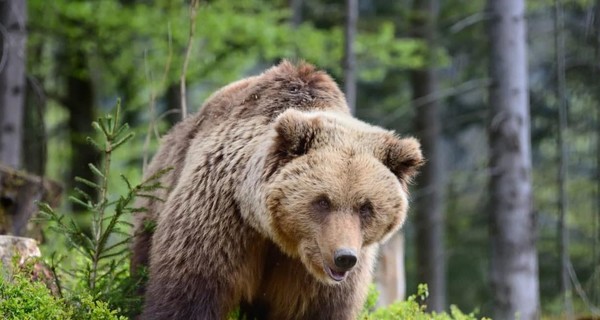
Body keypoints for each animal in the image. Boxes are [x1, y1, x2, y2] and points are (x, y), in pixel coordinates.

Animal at [132, 60, 422, 320]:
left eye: (366, 207)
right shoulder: (220, 223)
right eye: (322, 201)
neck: (278, 237)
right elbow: (187, 297)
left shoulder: (318, 282)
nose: (344, 257)